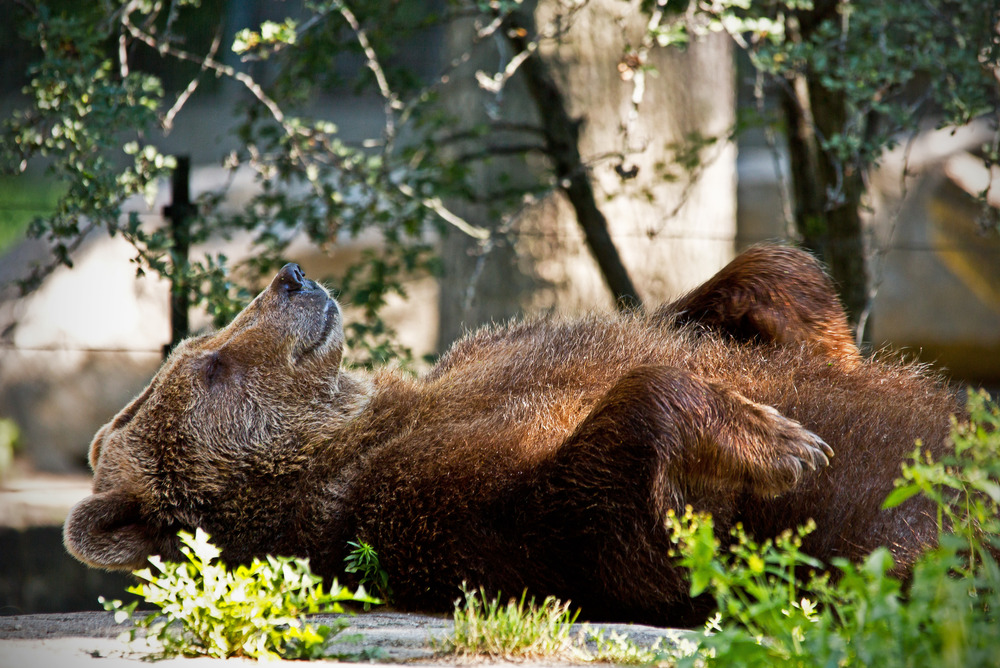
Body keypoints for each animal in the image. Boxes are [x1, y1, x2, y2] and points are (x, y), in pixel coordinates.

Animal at [62, 245, 960, 628]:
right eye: (209, 366)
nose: (290, 277)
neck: (357, 432)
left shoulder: (483, 363)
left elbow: (758, 297)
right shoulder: (415, 506)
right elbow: (617, 524)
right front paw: (778, 438)